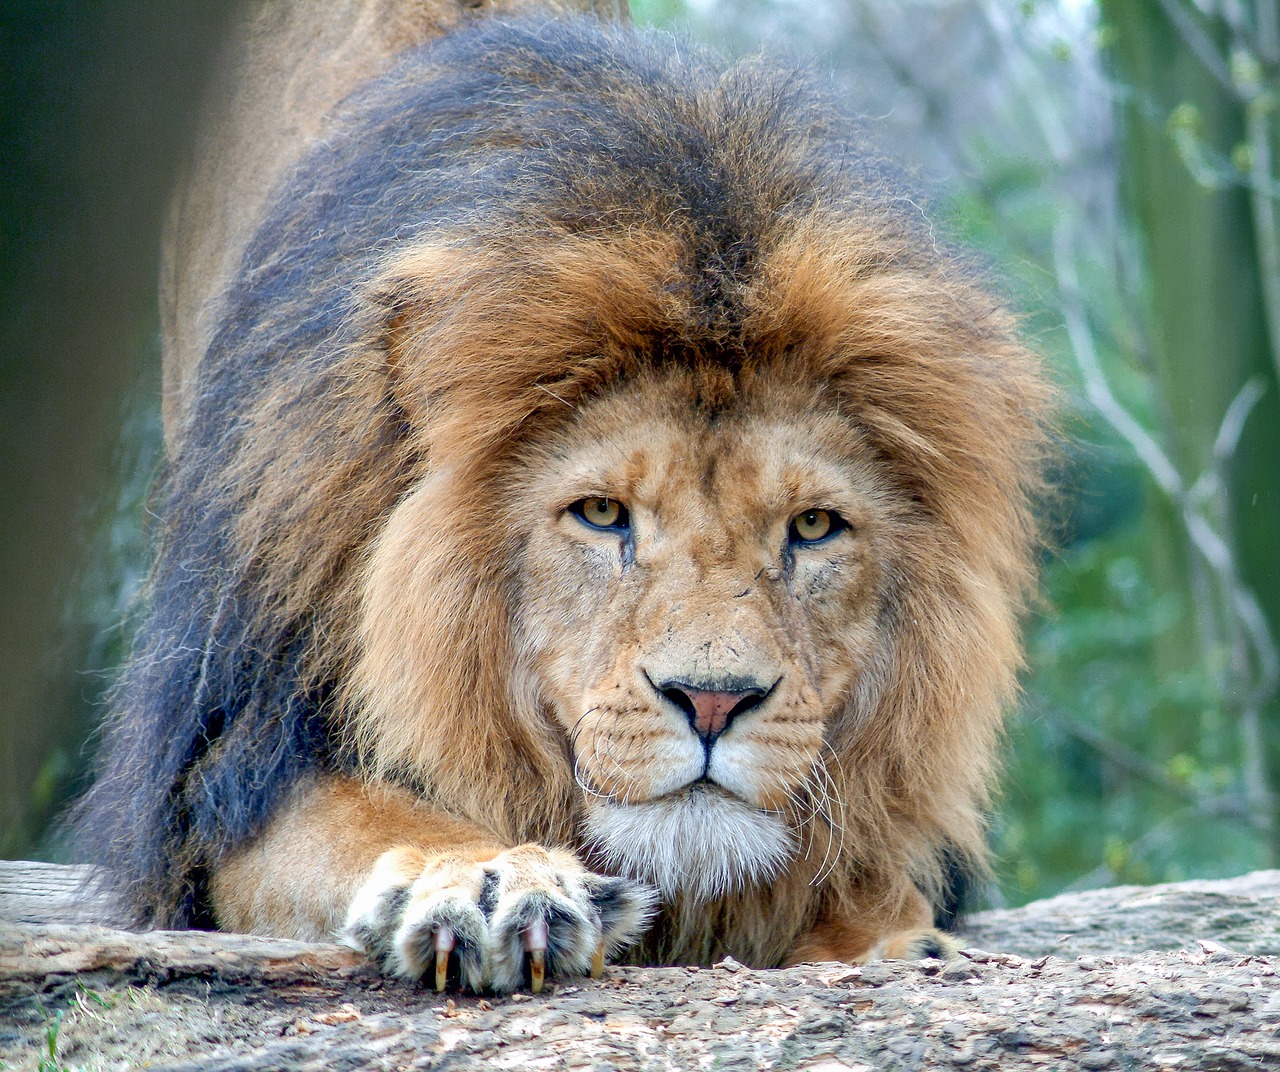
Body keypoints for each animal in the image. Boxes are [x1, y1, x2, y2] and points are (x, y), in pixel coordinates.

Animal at [72, 0, 1049, 997]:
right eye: (602, 514)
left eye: (813, 526)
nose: (712, 704)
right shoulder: (223, 778)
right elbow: (372, 819)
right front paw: (489, 882)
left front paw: (903, 938)